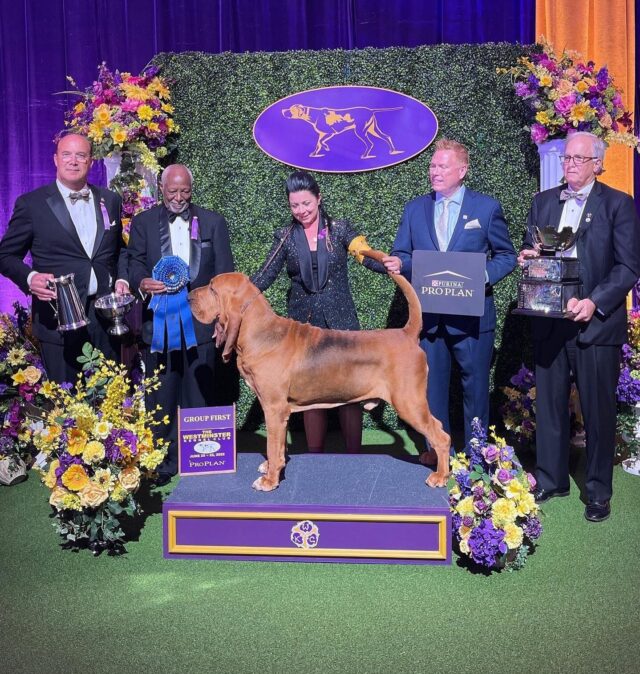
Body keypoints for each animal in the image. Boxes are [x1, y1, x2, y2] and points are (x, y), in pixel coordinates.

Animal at [190, 249, 450, 490]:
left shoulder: (274, 408)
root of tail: (406, 333)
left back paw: (440, 476)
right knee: (437, 428)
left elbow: (272, 445)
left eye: (212, 288)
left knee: (441, 435)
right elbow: (279, 445)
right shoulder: (278, 411)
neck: (260, 331)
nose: (189, 295)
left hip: (409, 403)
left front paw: (270, 480)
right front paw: (273, 467)